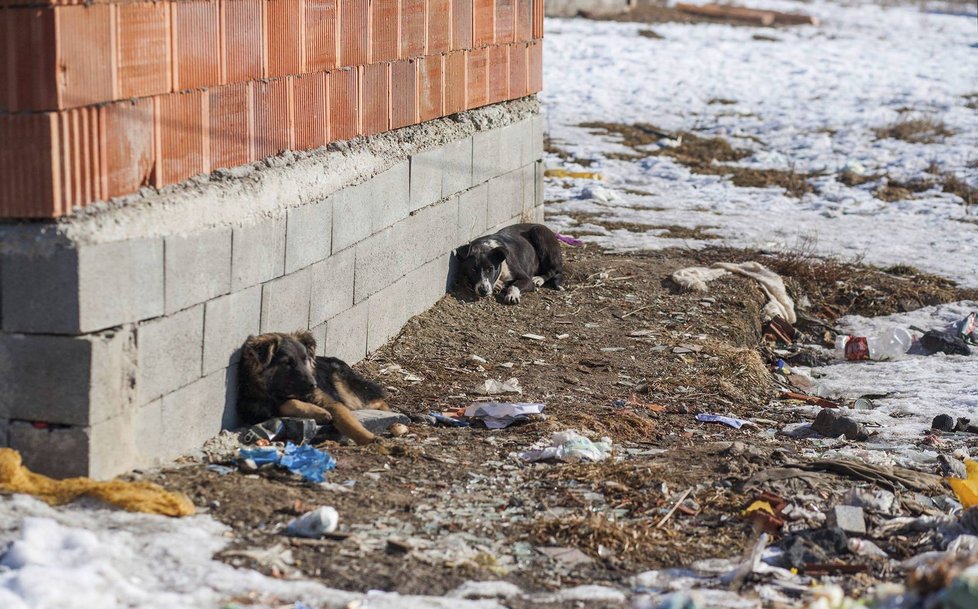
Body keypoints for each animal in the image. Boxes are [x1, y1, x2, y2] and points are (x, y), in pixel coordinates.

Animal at [237, 330, 388, 444]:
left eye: (305, 360)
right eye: (287, 363)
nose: (314, 385)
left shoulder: (332, 402)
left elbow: (347, 421)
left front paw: (369, 438)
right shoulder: (256, 411)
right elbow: (287, 404)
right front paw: (318, 412)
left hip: (346, 392)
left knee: (378, 401)